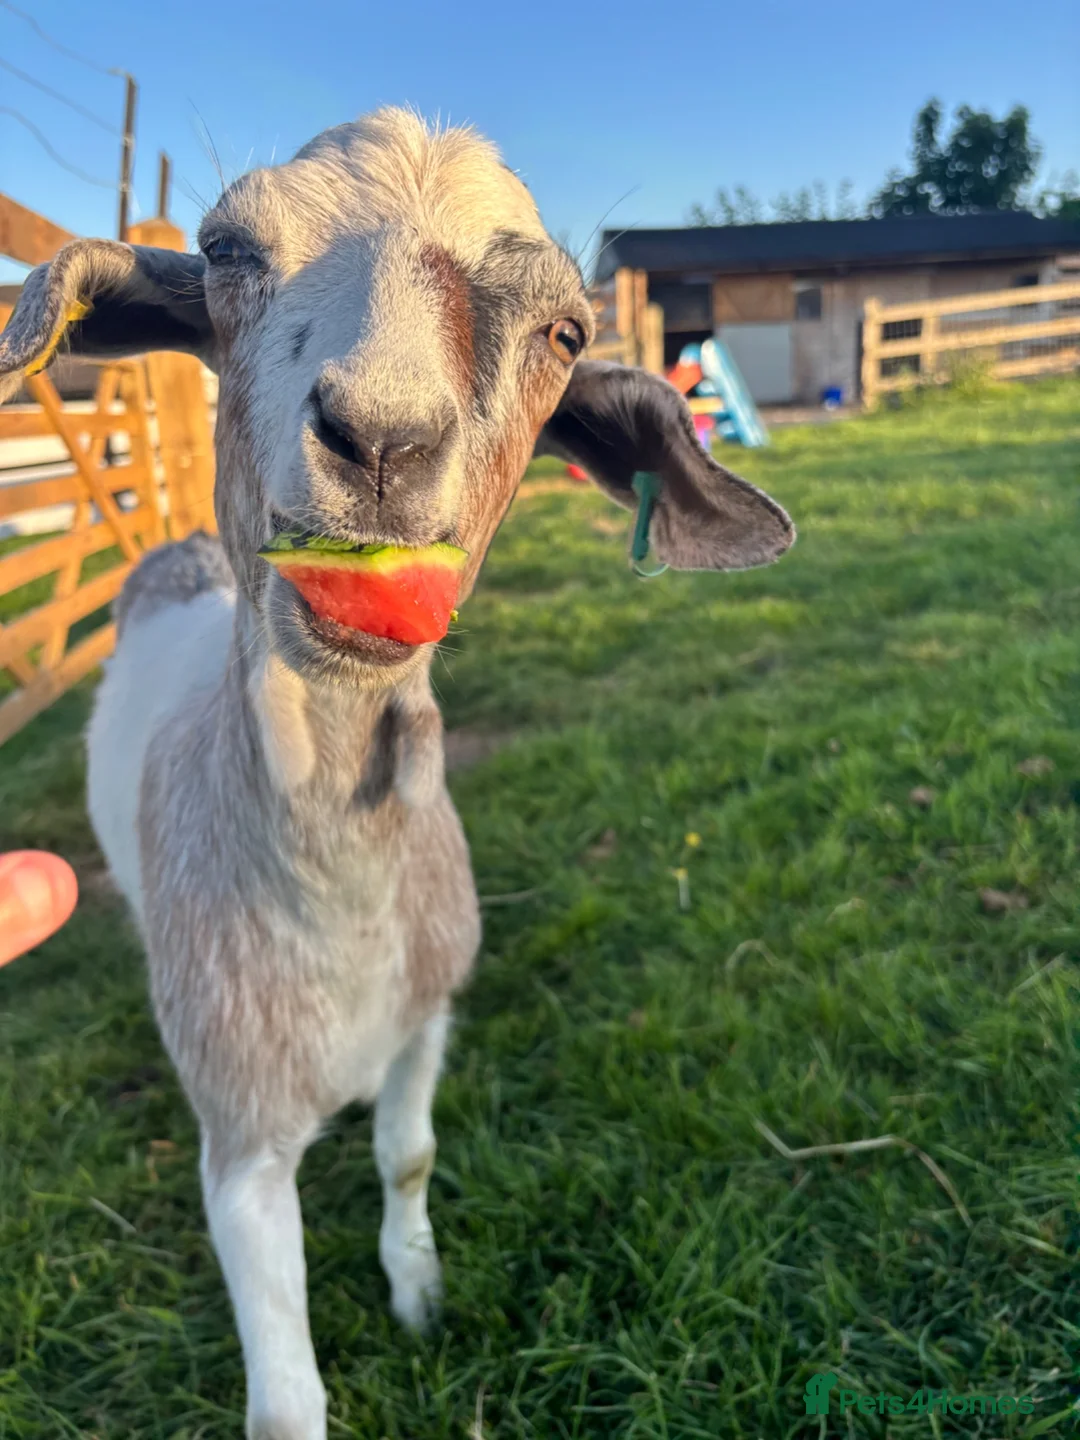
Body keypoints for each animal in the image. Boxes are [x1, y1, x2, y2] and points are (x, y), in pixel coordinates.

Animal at [0, 109, 794, 1439]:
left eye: (566, 331)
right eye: (225, 250)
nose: (381, 440)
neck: (343, 897)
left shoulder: (431, 1015)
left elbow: (409, 1155)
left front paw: (421, 1295)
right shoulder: (243, 1135)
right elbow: (284, 1403)